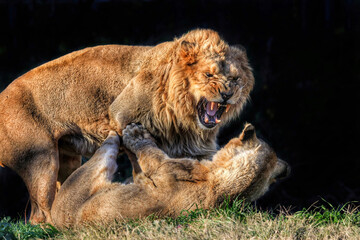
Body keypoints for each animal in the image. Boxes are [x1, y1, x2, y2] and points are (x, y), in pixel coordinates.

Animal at [0, 28, 255, 223]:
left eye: (235, 79)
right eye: (208, 75)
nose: (227, 94)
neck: (183, 114)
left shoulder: (197, 147)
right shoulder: (123, 116)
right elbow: (140, 161)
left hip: (67, 159)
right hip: (40, 161)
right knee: (39, 214)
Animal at [51, 124, 290, 227]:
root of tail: (58, 222)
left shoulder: (163, 167)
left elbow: (148, 150)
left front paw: (134, 133)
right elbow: (138, 171)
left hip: (87, 173)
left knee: (107, 146)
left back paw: (111, 132)